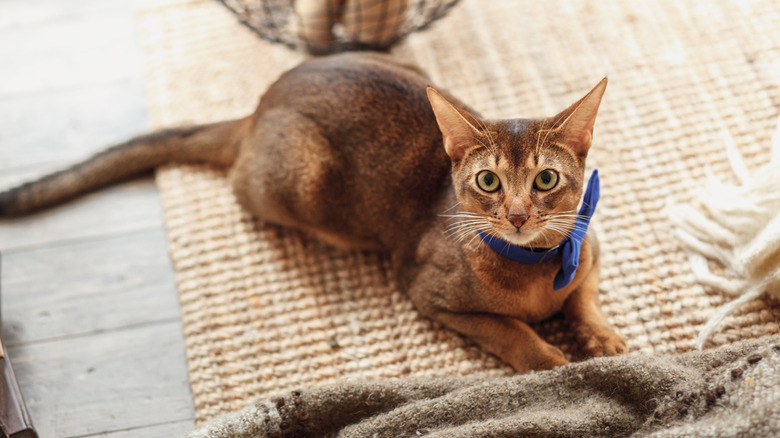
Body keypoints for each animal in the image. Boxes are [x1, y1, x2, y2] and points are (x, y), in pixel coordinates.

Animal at [0, 53, 628, 372]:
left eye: (546, 180)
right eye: (489, 182)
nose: (519, 216)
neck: (537, 266)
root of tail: (261, 103)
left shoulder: (591, 250)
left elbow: (584, 296)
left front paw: (603, 338)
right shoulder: (425, 291)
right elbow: (506, 328)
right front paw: (548, 357)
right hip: (303, 181)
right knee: (243, 186)